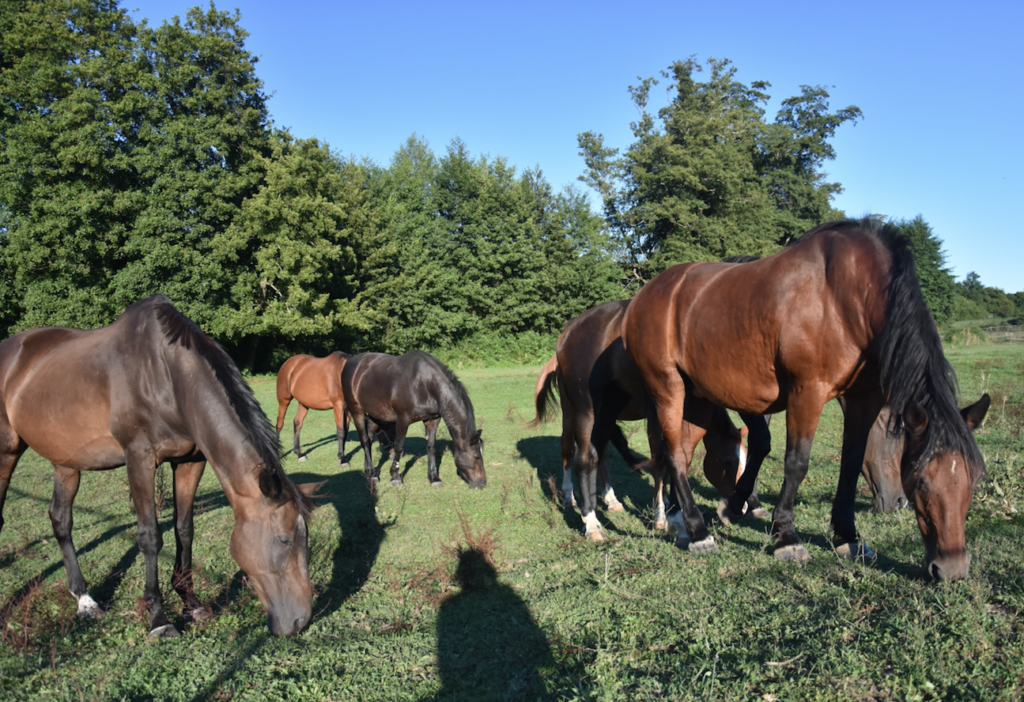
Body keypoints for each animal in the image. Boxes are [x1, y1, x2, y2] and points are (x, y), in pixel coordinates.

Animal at [0, 296, 319, 638]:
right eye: (284, 540)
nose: (300, 621)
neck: (166, 377)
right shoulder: (139, 460)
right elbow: (150, 536)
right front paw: (159, 617)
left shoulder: (190, 462)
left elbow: (184, 530)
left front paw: (191, 602)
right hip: (7, 451)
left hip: (66, 461)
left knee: (61, 520)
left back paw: (85, 600)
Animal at [342, 349, 485, 489]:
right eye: (477, 456)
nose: (483, 483)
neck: (424, 382)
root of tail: (351, 362)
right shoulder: (402, 419)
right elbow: (398, 447)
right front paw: (395, 477)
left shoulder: (432, 420)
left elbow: (431, 447)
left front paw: (434, 478)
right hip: (357, 411)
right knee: (365, 440)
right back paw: (371, 472)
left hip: (375, 414)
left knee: (370, 438)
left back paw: (370, 473)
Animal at [528, 298, 761, 540]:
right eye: (729, 461)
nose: (742, 507)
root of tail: (569, 329)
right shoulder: (656, 420)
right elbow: (660, 464)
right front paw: (661, 516)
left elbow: (673, 461)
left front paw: (669, 505)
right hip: (575, 413)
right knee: (570, 451)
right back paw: (572, 501)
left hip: (604, 418)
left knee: (600, 455)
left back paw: (611, 500)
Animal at [618, 220, 987, 581]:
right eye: (921, 481)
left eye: (974, 479)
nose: (952, 568)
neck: (851, 295)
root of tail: (646, 294)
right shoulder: (807, 392)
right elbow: (796, 463)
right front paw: (786, 537)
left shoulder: (862, 398)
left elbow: (849, 463)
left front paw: (847, 536)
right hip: (668, 389)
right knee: (674, 456)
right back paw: (697, 532)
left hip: (696, 400)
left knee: (682, 452)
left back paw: (683, 520)